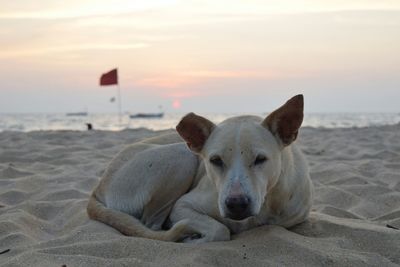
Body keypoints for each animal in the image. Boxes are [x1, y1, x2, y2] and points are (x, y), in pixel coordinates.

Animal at [86, 95, 312, 244]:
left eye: (260, 159)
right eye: (215, 160)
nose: (236, 204)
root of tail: (98, 187)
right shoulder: (183, 206)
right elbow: (220, 230)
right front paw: (194, 238)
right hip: (181, 155)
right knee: (151, 226)